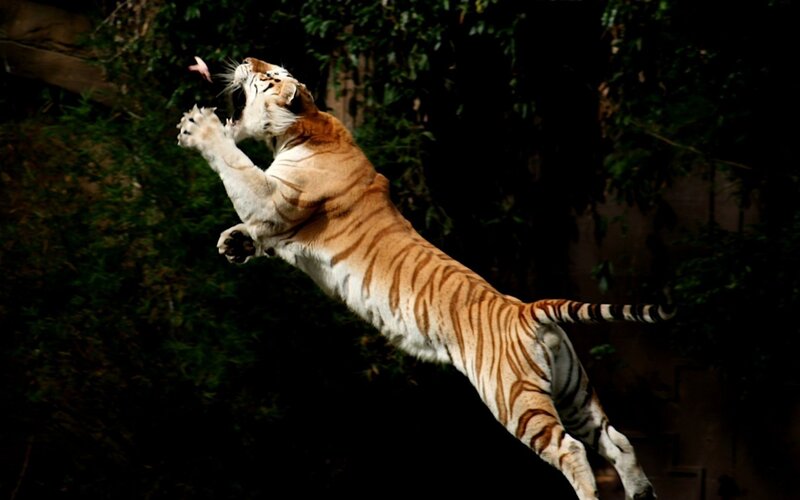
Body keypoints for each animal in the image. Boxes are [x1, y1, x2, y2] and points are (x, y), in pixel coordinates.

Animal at [176, 57, 673, 500]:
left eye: (269, 73)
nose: (246, 57)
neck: (300, 127)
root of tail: (527, 309)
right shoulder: (274, 218)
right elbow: (251, 221)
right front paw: (233, 243)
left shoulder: (274, 200)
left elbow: (238, 166)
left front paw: (199, 128)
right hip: (573, 390)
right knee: (617, 440)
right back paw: (642, 493)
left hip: (515, 398)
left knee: (571, 451)